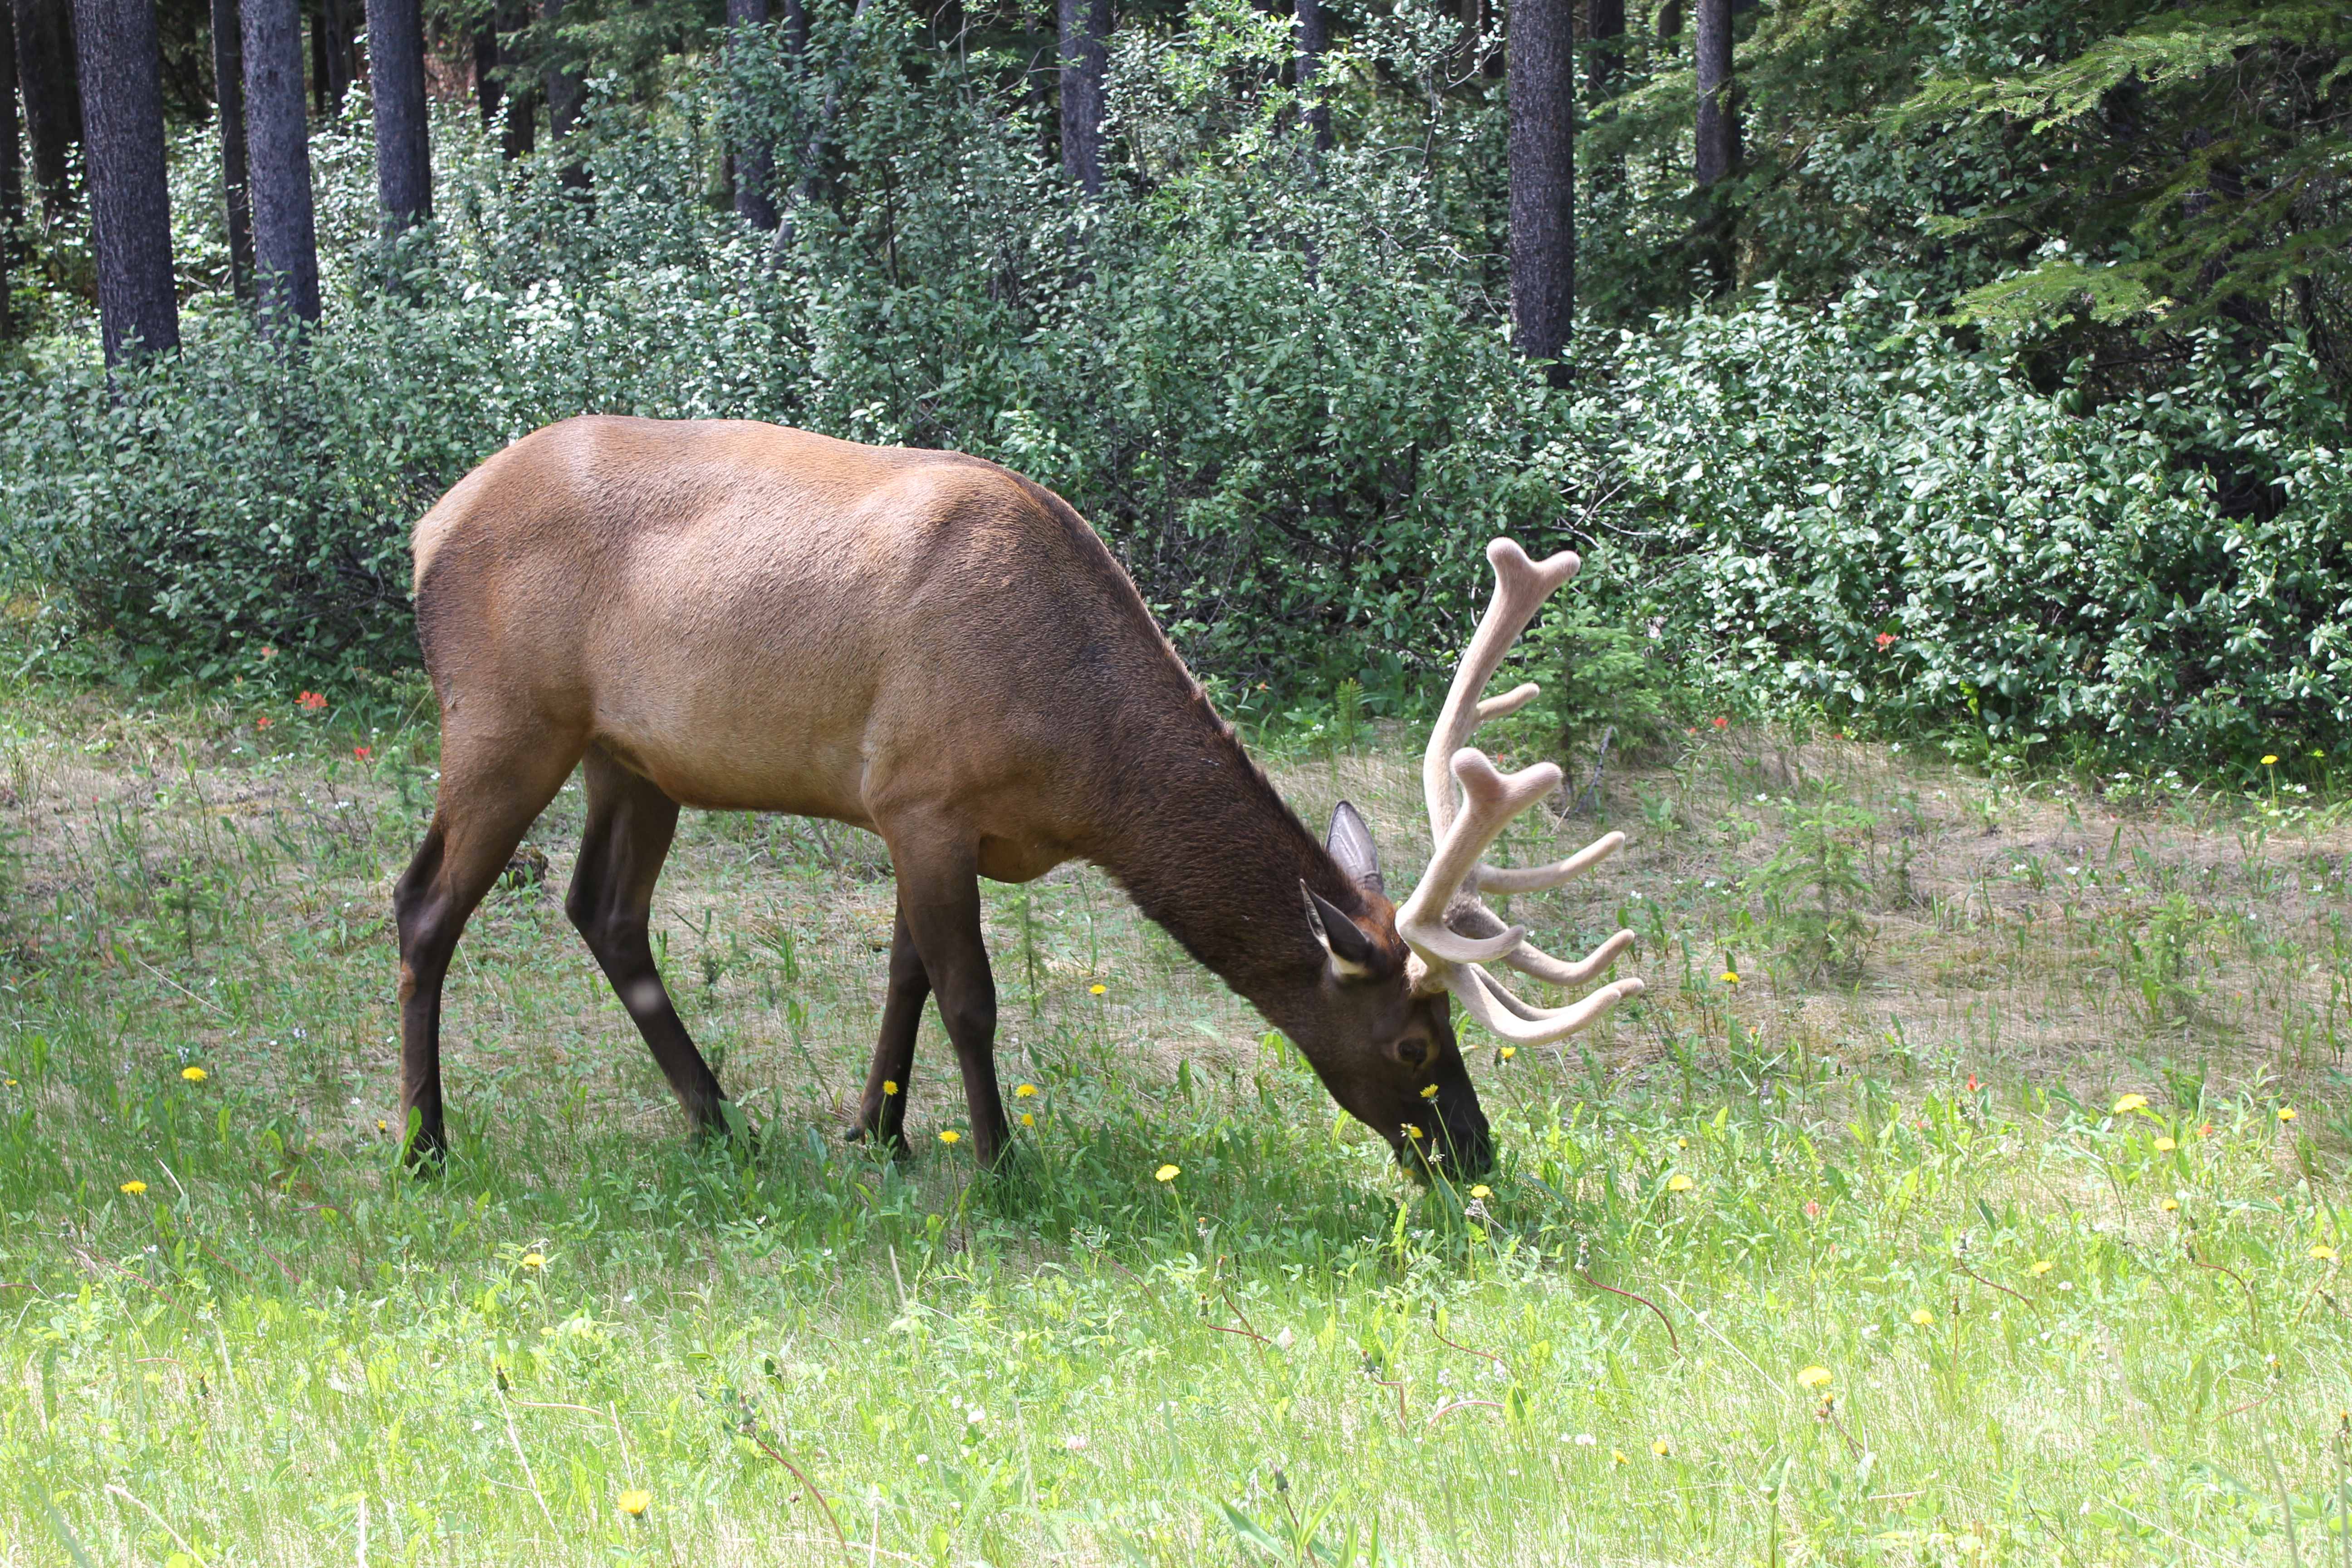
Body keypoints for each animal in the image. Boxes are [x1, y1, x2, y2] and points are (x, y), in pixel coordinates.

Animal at [395, 416, 1646, 1175]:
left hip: (634, 757)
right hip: (505, 719)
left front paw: (877, 1132)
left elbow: (903, 975)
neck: (1081, 767)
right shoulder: (921, 797)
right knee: (425, 904)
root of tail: (426, 524)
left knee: (604, 910)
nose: (1476, 1156)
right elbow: (969, 996)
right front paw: (998, 1161)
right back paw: (424, 1144)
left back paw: (718, 1119)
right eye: (1414, 1045)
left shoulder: (920, 817)